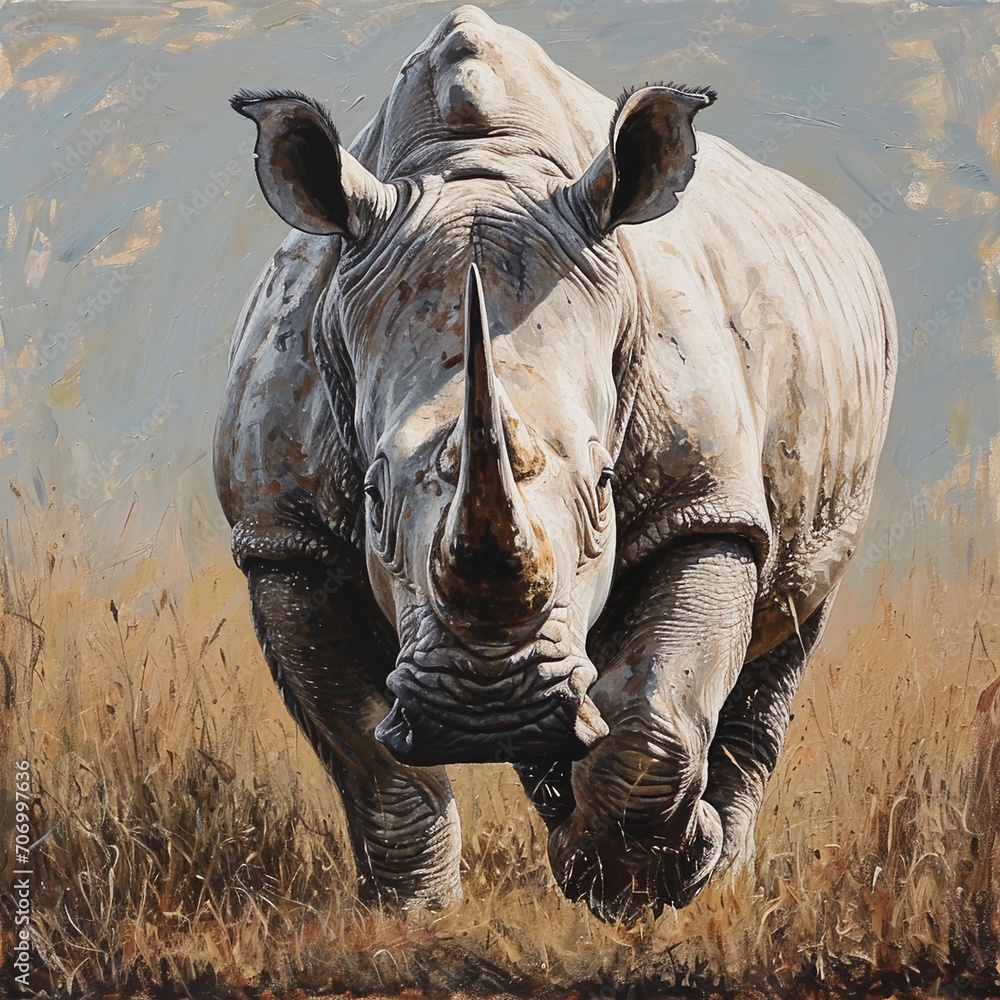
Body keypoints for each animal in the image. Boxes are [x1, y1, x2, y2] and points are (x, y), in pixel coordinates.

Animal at [215, 5, 896, 923]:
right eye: (370, 496)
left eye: (605, 486)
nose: (487, 710)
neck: (478, 169)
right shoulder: (282, 538)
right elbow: (368, 754)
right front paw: (411, 921)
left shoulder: (705, 503)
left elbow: (659, 705)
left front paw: (647, 883)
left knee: (787, 623)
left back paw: (715, 866)